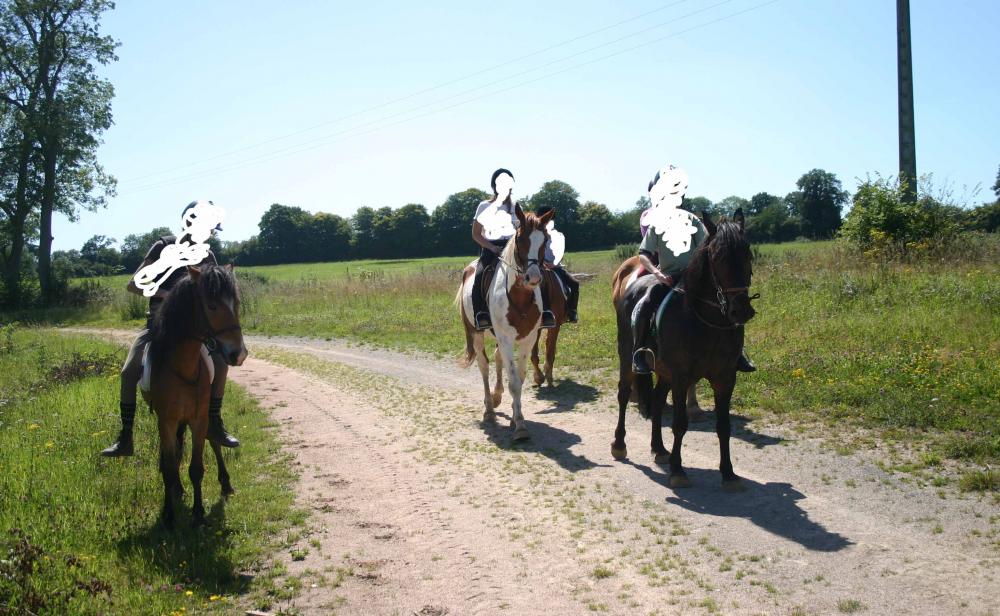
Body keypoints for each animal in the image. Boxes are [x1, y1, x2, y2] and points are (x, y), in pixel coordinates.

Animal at [144, 263, 247, 528]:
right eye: (211, 306)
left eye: (236, 303)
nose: (238, 354)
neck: (182, 368)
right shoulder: (166, 421)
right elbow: (169, 467)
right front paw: (169, 514)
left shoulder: (199, 419)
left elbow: (197, 468)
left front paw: (199, 511)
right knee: (175, 453)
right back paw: (177, 490)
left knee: (214, 441)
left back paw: (225, 483)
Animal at [458, 205, 554, 440]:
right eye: (519, 238)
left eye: (545, 239)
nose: (533, 278)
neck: (520, 297)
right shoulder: (507, 339)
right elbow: (514, 382)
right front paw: (519, 427)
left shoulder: (528, 339)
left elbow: (520, 377)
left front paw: (514, 417)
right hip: (477, 333)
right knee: (484, 365)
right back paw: (489, 410)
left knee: (496, 357)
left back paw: (496, 397)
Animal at [610, 210, 757, 491]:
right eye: (717, 256)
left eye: (747, 253)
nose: (740, 310)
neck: (706, 322)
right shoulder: (681, 376)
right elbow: (679, 424)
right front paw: (678, 470)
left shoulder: (725, 378)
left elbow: (724, 426)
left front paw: (728, 473)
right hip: (628, 358)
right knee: (623, 394)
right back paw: (619, 445)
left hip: (663, 371)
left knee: (657, 401)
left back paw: (659, 449)